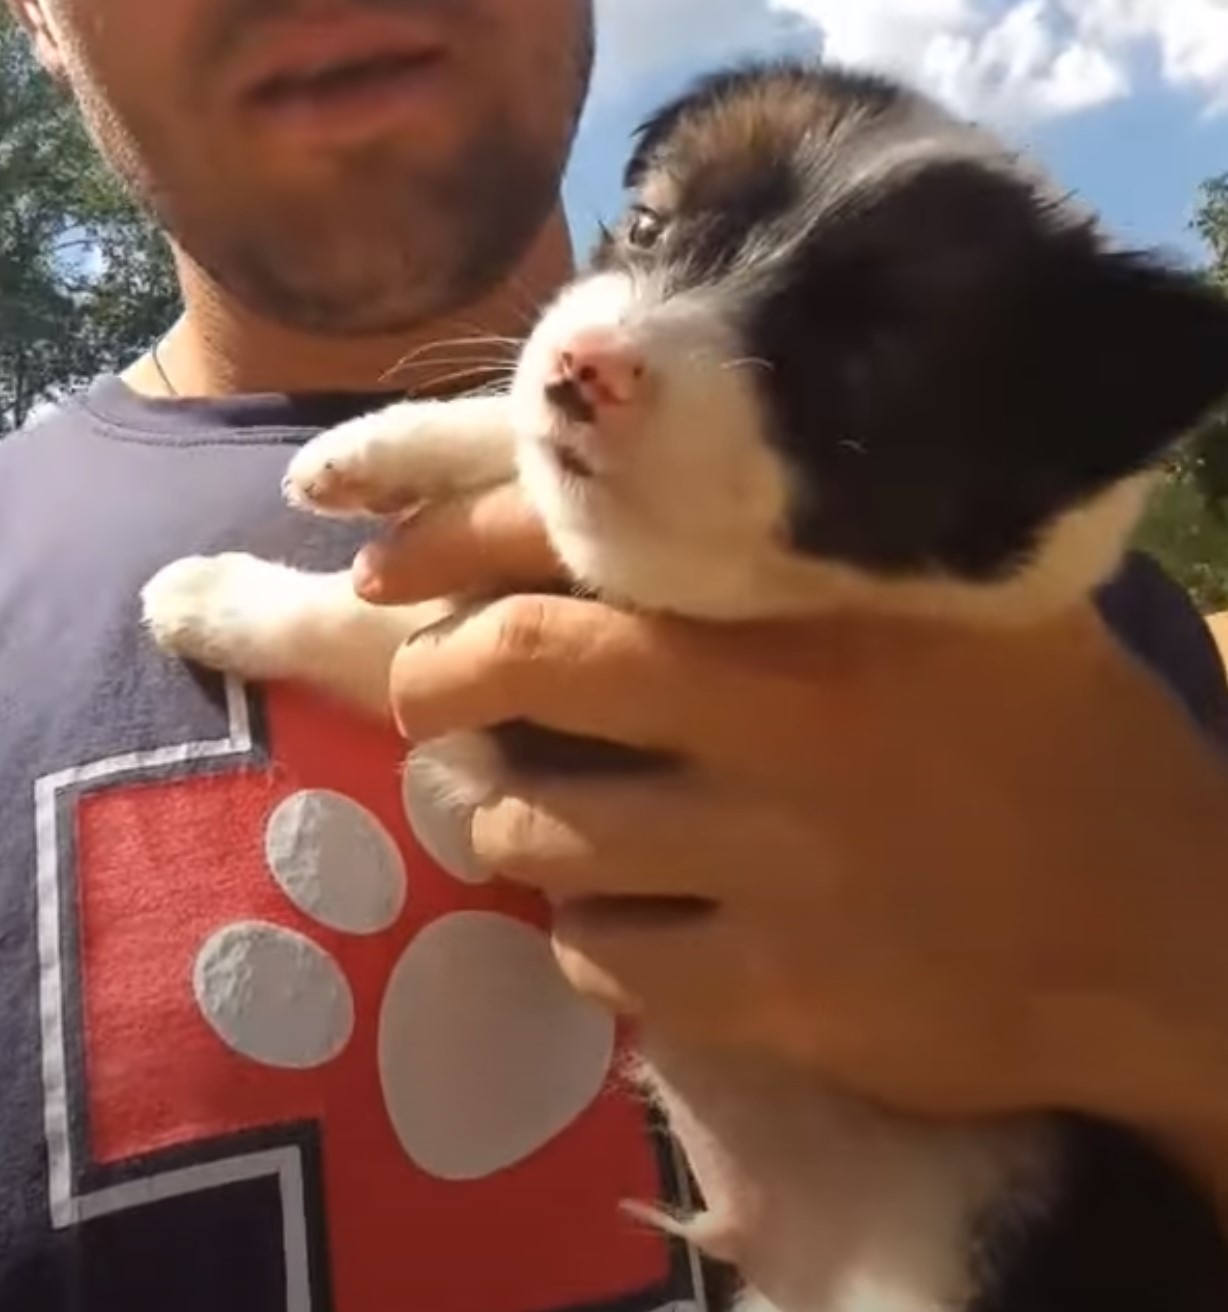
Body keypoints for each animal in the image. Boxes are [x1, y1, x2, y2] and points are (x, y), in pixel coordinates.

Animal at [146, 59, 1228, 1312]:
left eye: (860, 371)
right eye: (652, 225)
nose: (587, 369)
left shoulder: (549, 703)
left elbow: (385, 627)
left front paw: (213, 593)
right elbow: (510, 436)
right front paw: (380, 443)